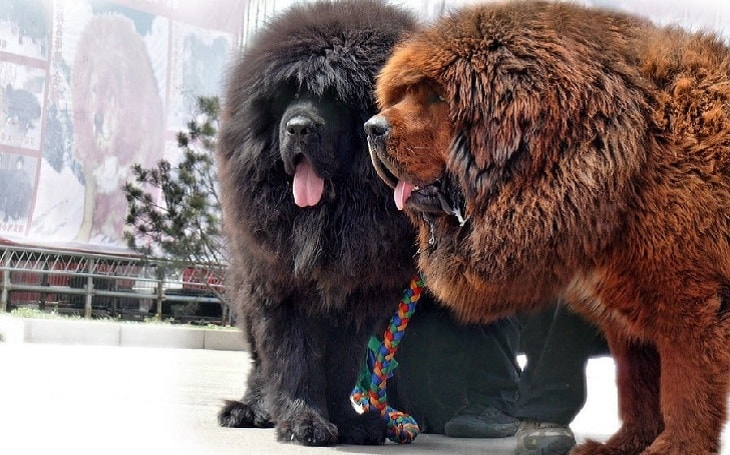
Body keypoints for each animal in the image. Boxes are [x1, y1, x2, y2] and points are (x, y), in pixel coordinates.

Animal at [216, 0, 418, 448]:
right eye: (289, 95)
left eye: (336, 98)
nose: (298, 127)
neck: (326, 219)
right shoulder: (280, 290)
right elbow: (294, 363)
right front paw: (303, 422)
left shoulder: (360, 300)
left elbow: (342, 366)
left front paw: (352, 422)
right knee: (260, 367)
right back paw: (250, 410)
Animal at [366, 1, 728, 454]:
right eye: (402, 95)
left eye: (437, 95)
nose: (371, 127)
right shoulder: (628, 318)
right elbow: (638, 388)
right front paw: (626, 443)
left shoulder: (689, 304)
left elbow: (684, 390)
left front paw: (675, 446)